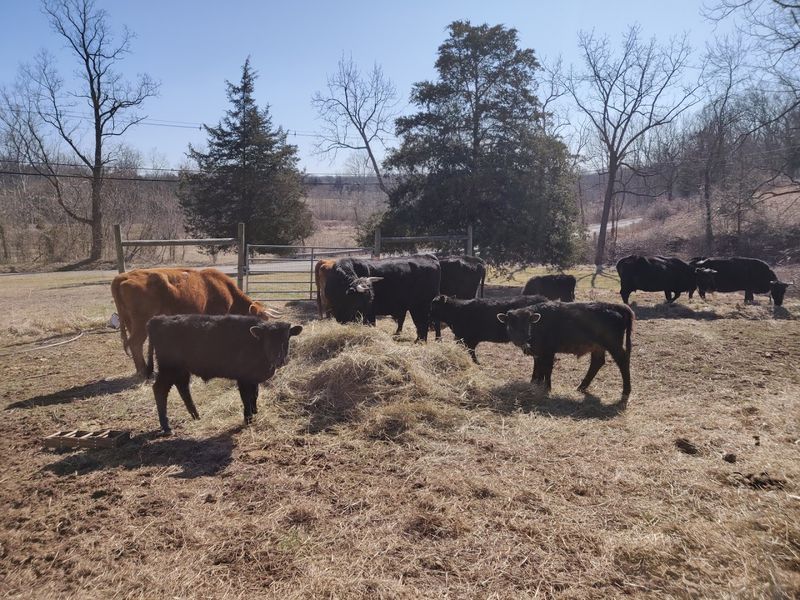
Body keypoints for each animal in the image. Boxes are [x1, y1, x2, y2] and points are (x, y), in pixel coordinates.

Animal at [145, 315, 302, 433]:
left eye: (286, 338)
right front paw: (248, 419)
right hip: (168, 369)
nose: (279, 358)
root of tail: (158, 319)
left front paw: (255, 411)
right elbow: (246, 398)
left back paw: (196, 416)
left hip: (181, 370)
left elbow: (255, 394)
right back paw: (166, 426)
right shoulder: (243, 379)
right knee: (160, 389)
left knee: (183, 388)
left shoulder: (253, 379)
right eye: (267, 339)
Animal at [497, 301, 633, 402]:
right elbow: (537, 368)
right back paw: (581, 387)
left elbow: (547, 368)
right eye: (511, 324)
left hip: (613, 345)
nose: (521, 339)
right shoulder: (538, 352)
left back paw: (626, 392)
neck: (539, 323)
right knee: (597, 362)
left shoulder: (549, 352)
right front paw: (534, 383)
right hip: (598, 347)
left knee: (622, 361)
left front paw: (547, 387)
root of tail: (614, 306)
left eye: (527, 323)